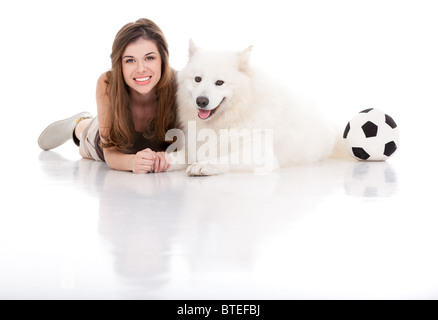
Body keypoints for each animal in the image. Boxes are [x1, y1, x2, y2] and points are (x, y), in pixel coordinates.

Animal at [167, 40, 336, 176]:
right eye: (197, 79)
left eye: (219, 82)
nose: (201, 101)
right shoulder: (194, 146)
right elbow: (175, 156)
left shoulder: (260, 154)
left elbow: (223, 158)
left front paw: (203, 165)